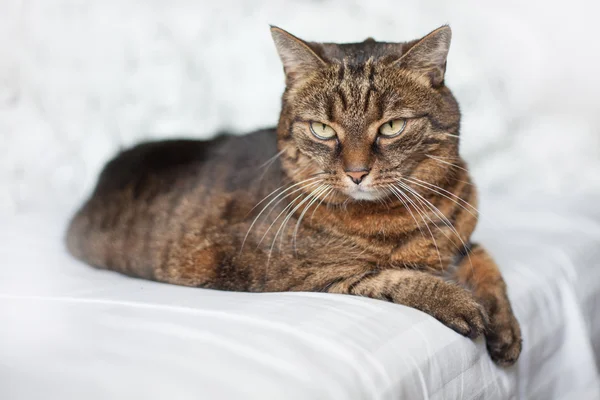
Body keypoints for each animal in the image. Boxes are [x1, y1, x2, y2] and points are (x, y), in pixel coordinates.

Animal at [67, 25, 520, 366]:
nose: (357, 173)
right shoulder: (299, 275)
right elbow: (386, 276)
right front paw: (457, 302)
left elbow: (487, 265)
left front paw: (505, 326)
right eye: (323, 129)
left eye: (392, 127)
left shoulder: (463, 237)